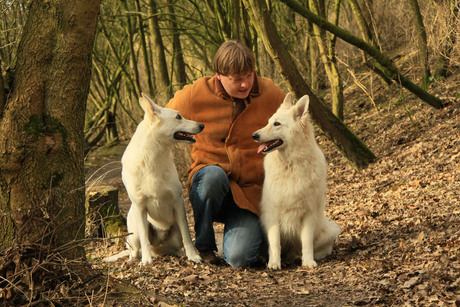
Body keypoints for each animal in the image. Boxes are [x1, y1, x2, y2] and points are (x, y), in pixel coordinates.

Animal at [121, 92, 202, 266]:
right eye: (178, 117)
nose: (201, 125)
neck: (153, 157)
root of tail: (159, 249)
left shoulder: (178, 202)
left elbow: (187, 236)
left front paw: (193, 256)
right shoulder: (140, 207)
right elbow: (145, 240)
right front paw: (146, 261)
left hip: (174, 231)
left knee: (178, 245)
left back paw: (181, 253)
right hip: (134, 231)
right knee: (134, 248)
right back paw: (135, 259)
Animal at [252, 95, 342, 270]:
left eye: (277, 124)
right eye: (269, 122)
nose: (254, 135)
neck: (291, 164)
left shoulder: (308, 213)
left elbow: (306, 242)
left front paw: (308, 262)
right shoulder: (272, 214)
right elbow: (275, 243)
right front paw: (274, 263)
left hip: (326, 231)